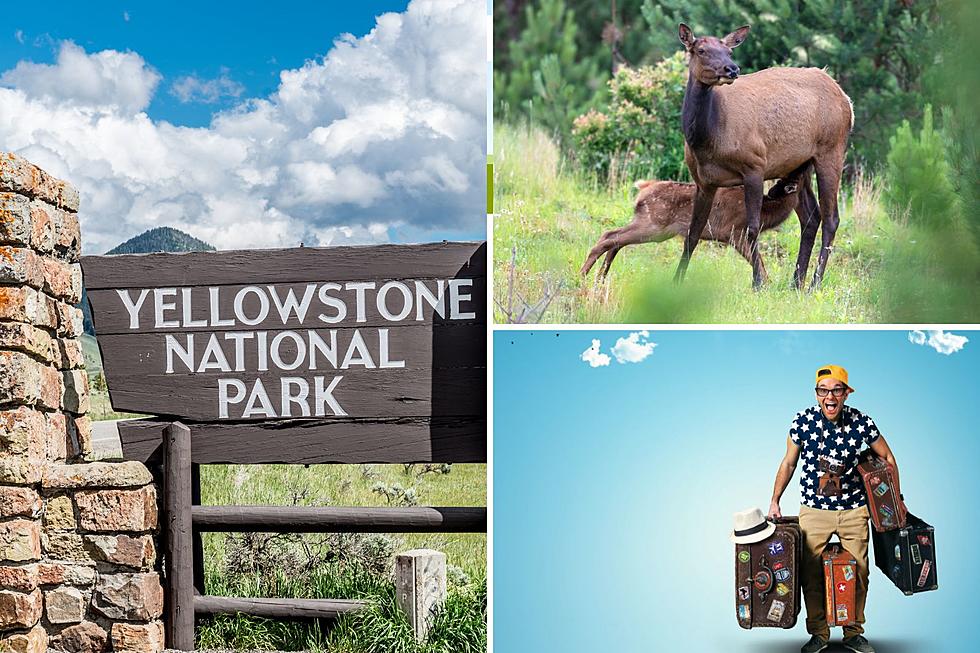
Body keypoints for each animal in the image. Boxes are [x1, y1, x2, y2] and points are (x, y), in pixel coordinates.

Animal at [580, 163, 812, 280]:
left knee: (616, 240)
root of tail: (643, 188)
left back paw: (600, 277)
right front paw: (766, 285)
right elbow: (759, 262)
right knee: (609, 236)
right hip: (653, 224)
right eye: (797, 173)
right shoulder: (734, 232)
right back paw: (583, 275)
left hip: (653, 227)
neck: (766, 213)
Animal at [672, 23, 848, 288]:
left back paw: (814, 283)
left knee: (831, 218)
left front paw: (757, 283)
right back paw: (796, 282)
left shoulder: (754, 165)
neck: (709, 140)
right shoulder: (704, 181)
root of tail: (846, 99)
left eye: (729, 51)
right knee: (811, 217)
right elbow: (693, 233)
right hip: (800, 164)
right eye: (701, 50)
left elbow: (752, 228)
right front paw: (676, 280)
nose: (732, 69)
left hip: (831, 150)